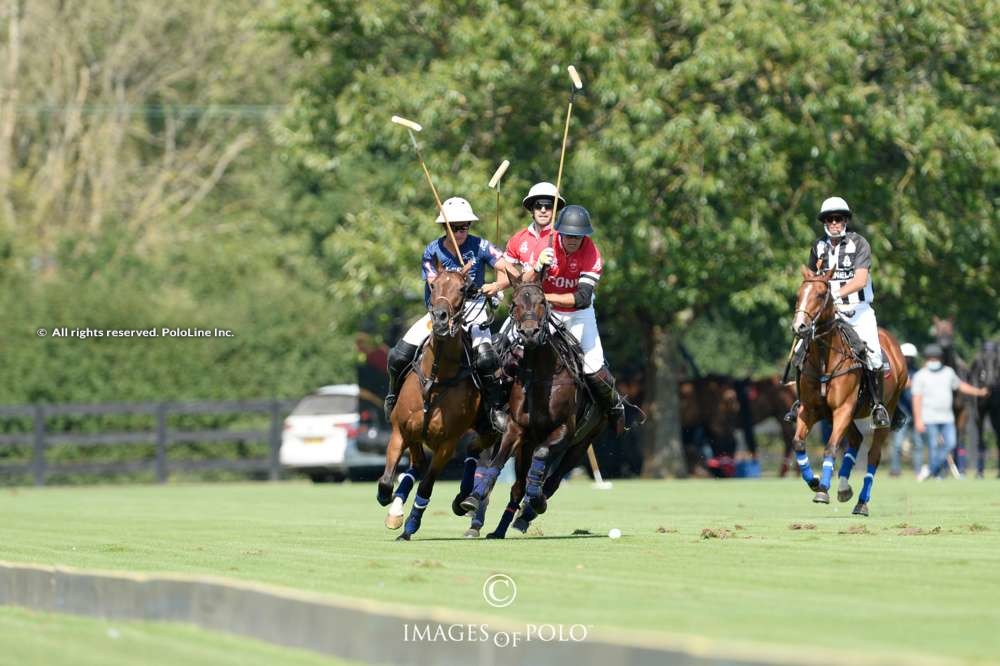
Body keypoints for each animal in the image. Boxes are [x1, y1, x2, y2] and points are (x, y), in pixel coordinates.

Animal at [376, 260, 482, 540]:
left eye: (463, 289)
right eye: (433, 286)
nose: (440, 318)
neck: (436, 378)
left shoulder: (447, 444)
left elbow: (426, 486)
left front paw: (410, 527)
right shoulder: (401, 430)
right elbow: (387, 480)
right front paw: (389, 502)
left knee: (474, 451)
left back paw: (465, 500)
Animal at [788, 264, 908, 512]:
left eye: (820, 294)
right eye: (798, 294)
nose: (799, 327)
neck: (824, 358)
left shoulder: (843, 407)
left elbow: (831, 447)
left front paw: (823, 489)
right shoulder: (811, 410)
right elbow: (798, 443)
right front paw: (814, 481)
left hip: (886, 408)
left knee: (874, 454)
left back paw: (862, 502)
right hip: (846, 414)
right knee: (856, 440)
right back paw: (844, 488)